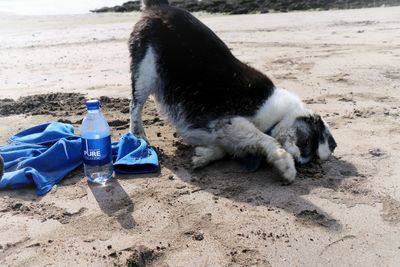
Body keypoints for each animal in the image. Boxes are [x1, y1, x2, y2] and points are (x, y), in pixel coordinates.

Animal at [127, 0, 334, 184]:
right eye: (305, 143)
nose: (298, 161)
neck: (278, 116)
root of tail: (159, 6)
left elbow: (223, 148)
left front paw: (204, 156)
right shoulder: (232, 122)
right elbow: (267, 139)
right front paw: (286, 166)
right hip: (146, 70)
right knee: (135, 105)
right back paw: (138, 135)